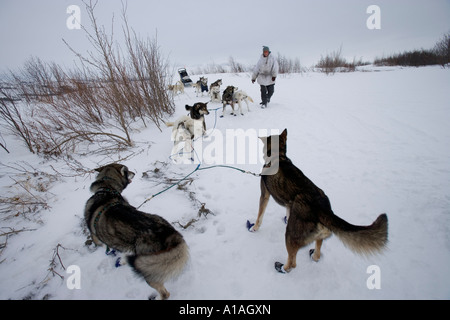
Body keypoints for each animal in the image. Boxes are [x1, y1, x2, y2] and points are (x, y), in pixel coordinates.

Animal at [248, 129, 388, 274]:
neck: (278, 157)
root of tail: (323, 208)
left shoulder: (264, 195)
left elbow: (259, 216)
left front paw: (254, 227)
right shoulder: (289, 202)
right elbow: (287, 210)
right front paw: (286, 218)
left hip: (290, 236)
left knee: (292, 263)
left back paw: (282, 268)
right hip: (319, 234)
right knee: (318, 252)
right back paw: (313, 255)